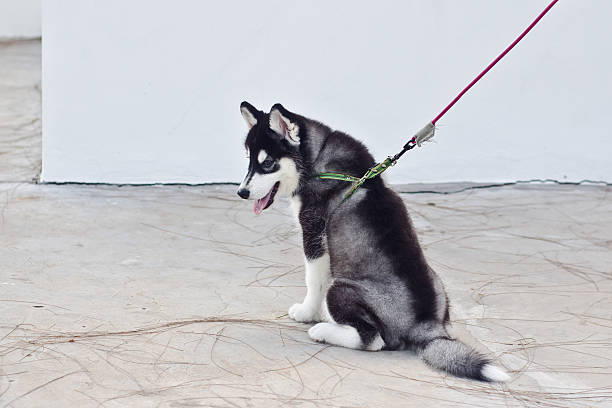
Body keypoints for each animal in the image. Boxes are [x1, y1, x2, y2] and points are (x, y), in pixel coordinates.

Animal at [237, 102, 510, 382]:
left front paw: (307, 313)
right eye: (249, 160)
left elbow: (314, 281)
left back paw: (323, 330)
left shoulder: (314, 236)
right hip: (438, 284)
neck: (317, 161)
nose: (242, 193)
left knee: (372, 340)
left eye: (268, 163)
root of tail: (426, 326)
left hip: (342, 288)